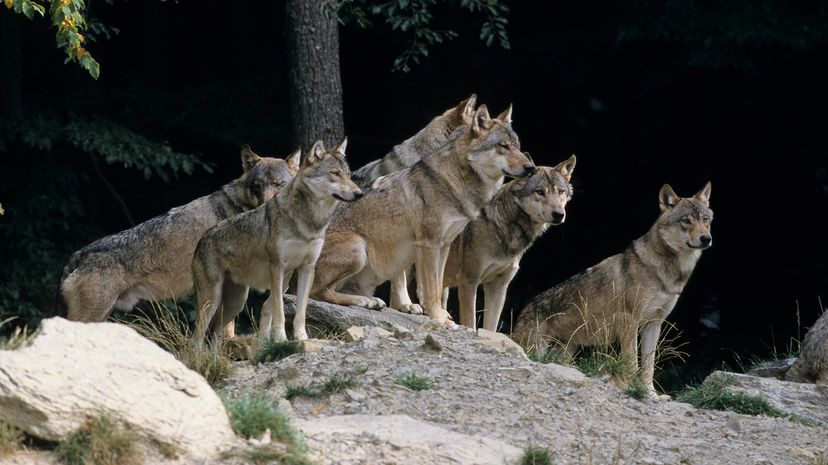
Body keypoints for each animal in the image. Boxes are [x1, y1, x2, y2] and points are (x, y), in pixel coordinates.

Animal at [192, 138, 364, 344]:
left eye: (348, 175)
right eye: (335, 173)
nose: (360, 193)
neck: (309, 221)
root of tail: (201, 238)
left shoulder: (307, 268)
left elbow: (300, 310)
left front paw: (301, 337)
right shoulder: (277, 268)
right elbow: (279, 310)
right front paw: (281, 339)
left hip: (236, 302)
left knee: (214, 335)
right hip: (212, 301)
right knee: (196, 337)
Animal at [440, 156, 576, 330]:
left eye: (560, 191)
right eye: (540, 192)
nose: (559, 214)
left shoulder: (498, 286)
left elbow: (490, 327)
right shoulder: (469, 281)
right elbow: (470, 322)